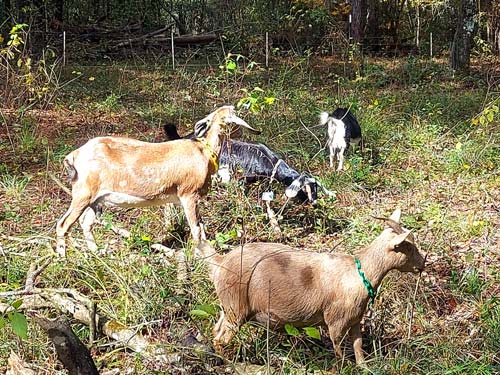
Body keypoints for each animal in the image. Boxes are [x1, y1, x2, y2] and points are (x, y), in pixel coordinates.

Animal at [56, 107, 256, 258]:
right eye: (230, 115)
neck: (204, 152)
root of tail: (73, 156)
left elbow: (201, 227)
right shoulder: (188, 193)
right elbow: (196, 229)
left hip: (96, 200)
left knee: (85, 223)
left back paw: (97, 253)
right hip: (83, 193)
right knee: (63, 224)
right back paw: (63, 259)